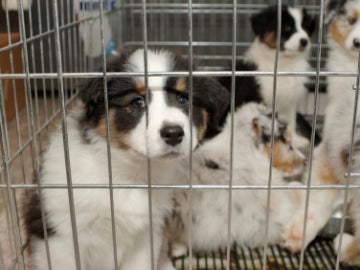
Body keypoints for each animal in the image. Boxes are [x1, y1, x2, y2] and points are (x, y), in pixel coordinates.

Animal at [23, 48, 229, 270]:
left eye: (183, 99)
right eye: (137, 102)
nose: (173, 133)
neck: (128, 173)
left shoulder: (147, 235)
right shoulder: (61, 238)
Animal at [218, 5, 316, 150]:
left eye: (305, 27)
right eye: (287, 27)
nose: (304, 41)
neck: (284, 64)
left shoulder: (289, 102)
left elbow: (291, 122)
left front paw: (295, 141)